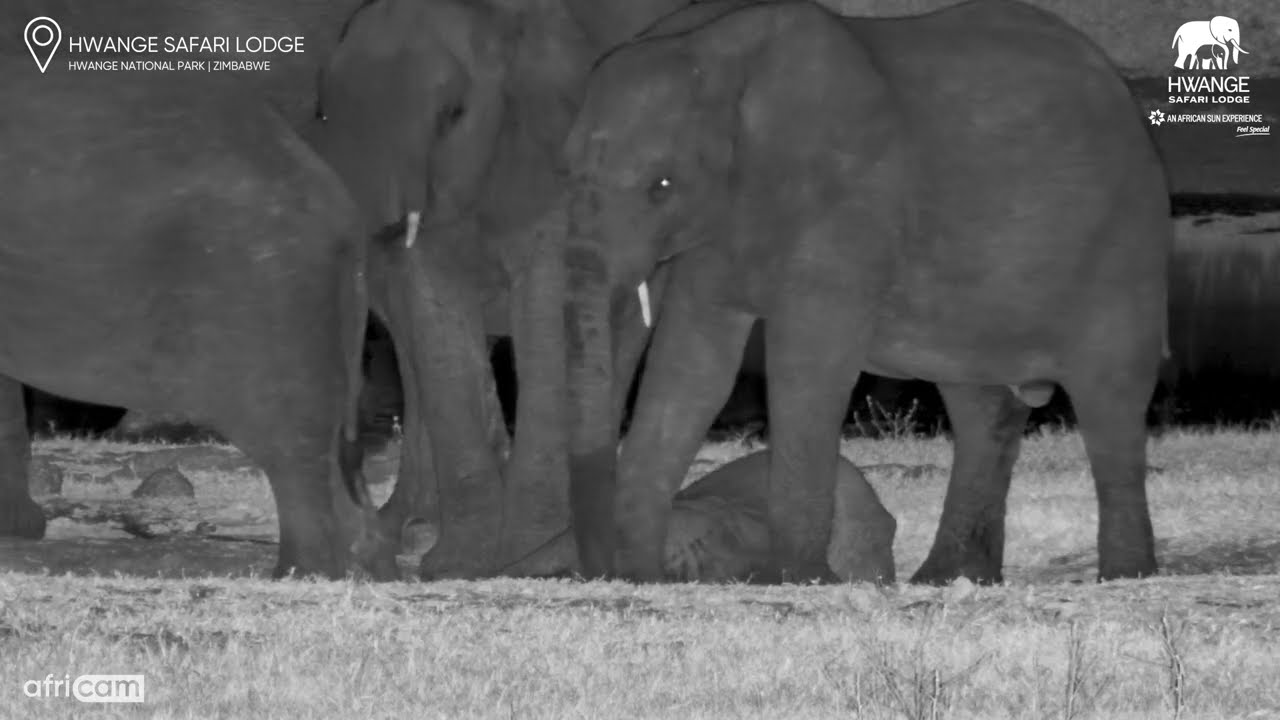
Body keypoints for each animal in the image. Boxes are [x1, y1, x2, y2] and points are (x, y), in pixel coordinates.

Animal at [552, 0, 1171, 584]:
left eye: (661, 186)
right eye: (564, 174)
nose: (601, 570)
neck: (717, 53)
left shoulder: (849, 201)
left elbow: (807, 366)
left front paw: (808, 580)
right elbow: (693, 367)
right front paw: (644, 576)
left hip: (1125, 243)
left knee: (1109, 394)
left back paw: (1124, 575)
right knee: (980, 406)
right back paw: (949, 579)